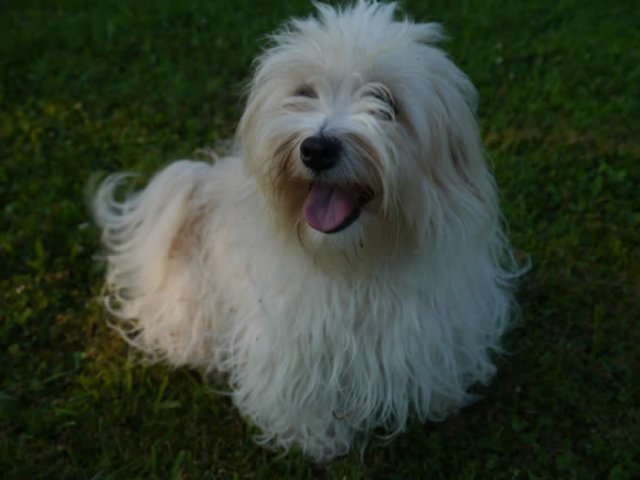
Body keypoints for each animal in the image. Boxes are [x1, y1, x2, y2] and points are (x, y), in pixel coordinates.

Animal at [93, 1, 523, 461]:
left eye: (386, 101)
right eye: (304, 92)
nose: (317, 148)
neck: (354, 261)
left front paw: (440, 400)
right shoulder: (290, 340)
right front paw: (316, 440)